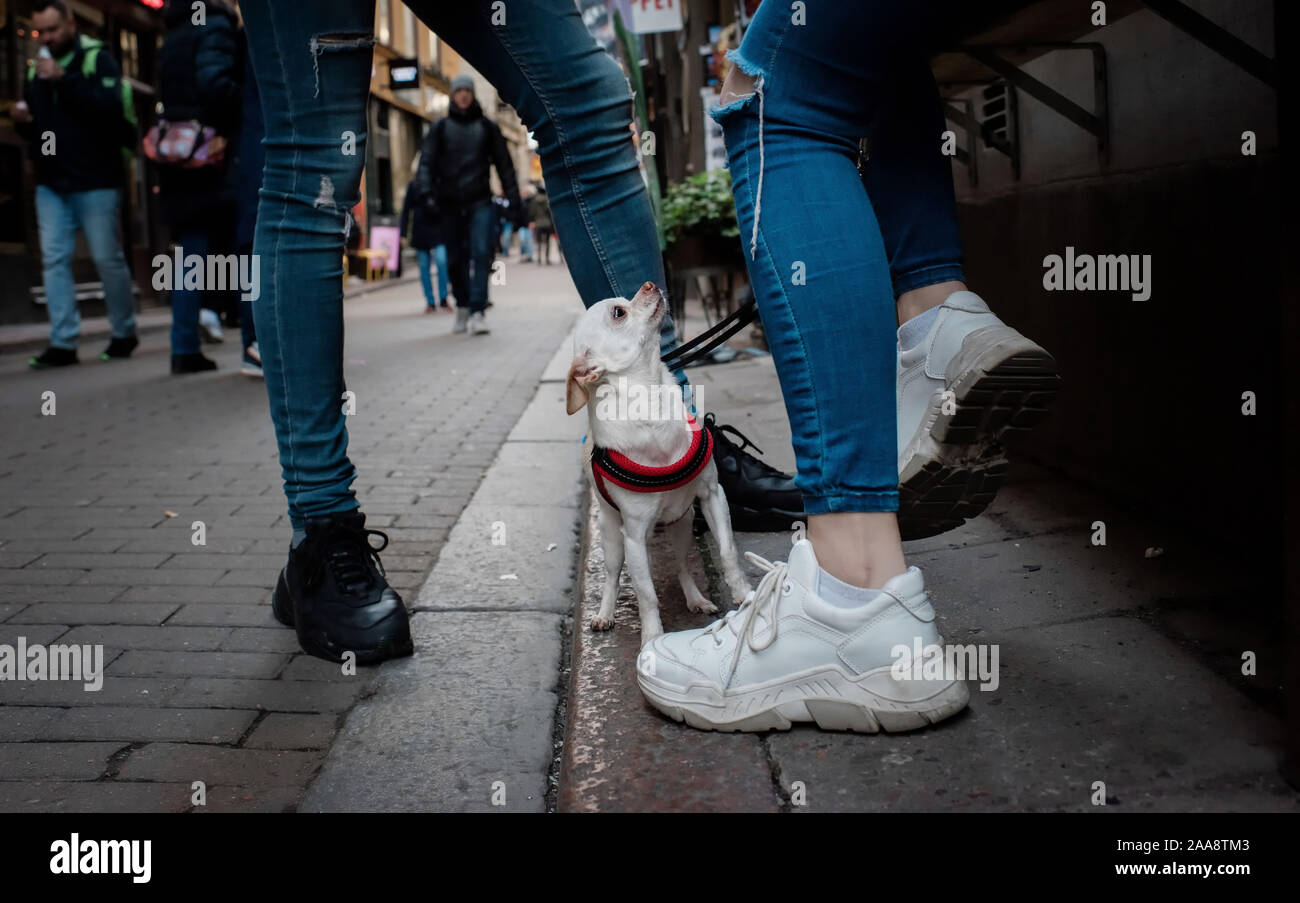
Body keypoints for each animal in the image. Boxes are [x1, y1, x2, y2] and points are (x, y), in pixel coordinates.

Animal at [566, 283, 754, 641]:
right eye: (618, 313)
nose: (649, 285)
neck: (651, 402)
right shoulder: (634, 535)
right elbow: (646, 593)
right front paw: (652, 639)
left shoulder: (713, 496)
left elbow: (727, 551)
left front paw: (745, 595)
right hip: (613, 539)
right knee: (613, 576)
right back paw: (604, 614)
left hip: (682, 525)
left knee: (682, 567)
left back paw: (696, 599)